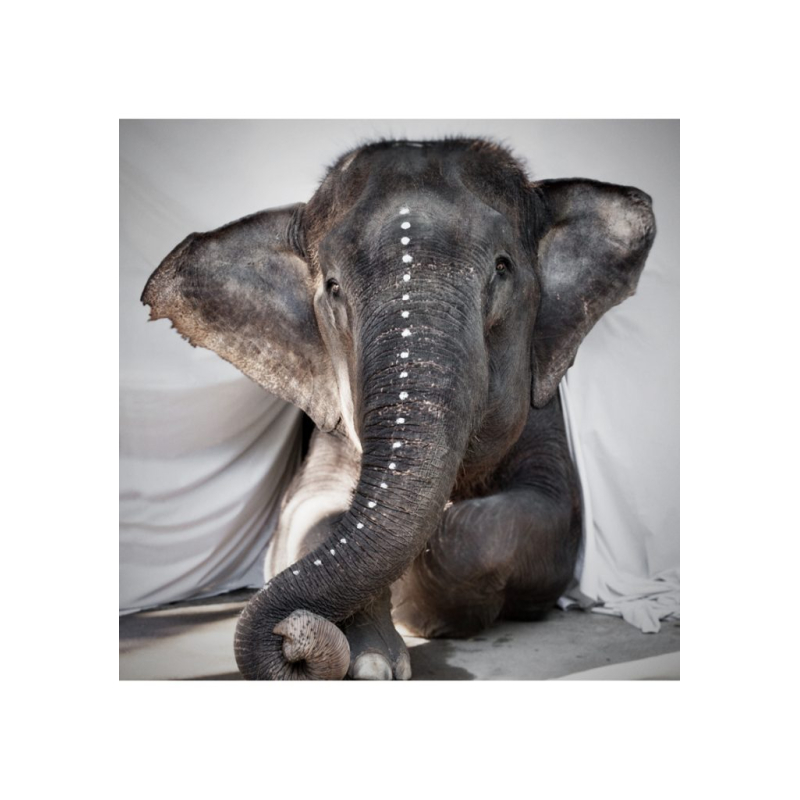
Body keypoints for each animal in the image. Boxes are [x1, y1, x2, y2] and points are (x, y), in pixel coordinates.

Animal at [141, 137, 655, 680]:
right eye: (333, 287)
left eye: (502, 267)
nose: (290, 640)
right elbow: (305, 515)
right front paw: (371, 661)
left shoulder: (546, 416)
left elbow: (536, 514)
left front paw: (419, 607)